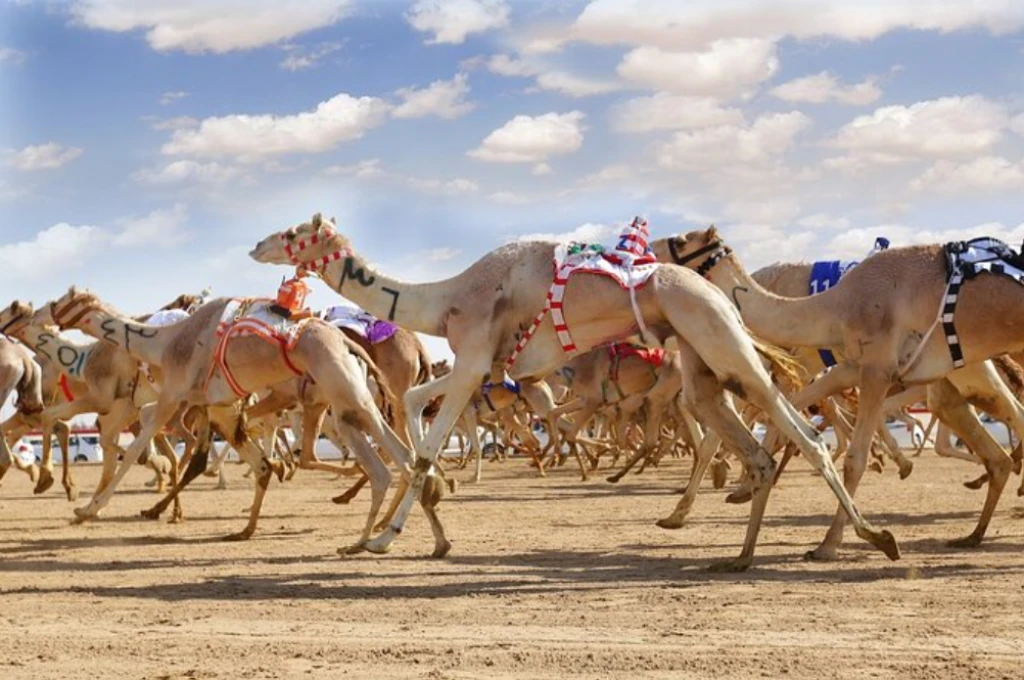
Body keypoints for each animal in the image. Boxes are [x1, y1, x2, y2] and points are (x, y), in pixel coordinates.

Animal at [46, 287, 449, 556]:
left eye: (66, 298)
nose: (48, 309)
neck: (166, 342)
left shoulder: (173, 397)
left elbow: (136, 451)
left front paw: (86, 510)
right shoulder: (217, 404)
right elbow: (240, 456)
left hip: (347, 393)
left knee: (397, 461)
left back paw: (382, 535)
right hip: (345, 401)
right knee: (393, 461)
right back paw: (409, 537)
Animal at [249, 213, 899, 571]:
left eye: (292, 231)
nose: (256, 245)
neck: (447, 298)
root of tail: (713, 288)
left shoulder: (475, 356)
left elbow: (430, 444)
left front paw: (386, 538)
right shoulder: (481, 366)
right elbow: (412, 406)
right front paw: (430, 513)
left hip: (718, 336)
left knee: (801, 429)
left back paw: (872, 537)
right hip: (698, 355)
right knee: (754, 445)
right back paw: (738, 556)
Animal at [654, 227, 1024, 560]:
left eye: (682, 240)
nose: (652, 247)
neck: (835, 305)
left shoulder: (875, 368)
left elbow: (853, 459)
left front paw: (829, 545)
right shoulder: (849, 367)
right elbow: (786, 417)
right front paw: (693, 508)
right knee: (992, 436)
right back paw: (974, 532)